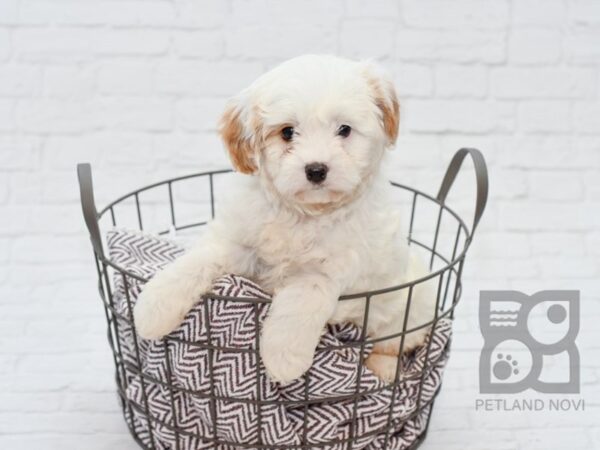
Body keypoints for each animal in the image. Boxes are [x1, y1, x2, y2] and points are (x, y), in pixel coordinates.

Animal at [135, 53, 436, 384]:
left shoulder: (326, 271)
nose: (316, 170)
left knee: (393, 344)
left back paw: (382, 369)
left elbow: (300, 304)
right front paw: (153, 307)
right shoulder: (236, 241)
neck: (302, 214)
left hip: (409, 308)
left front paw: (283, 360)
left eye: (344, 130)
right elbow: (196, 261)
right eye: (287, 132)